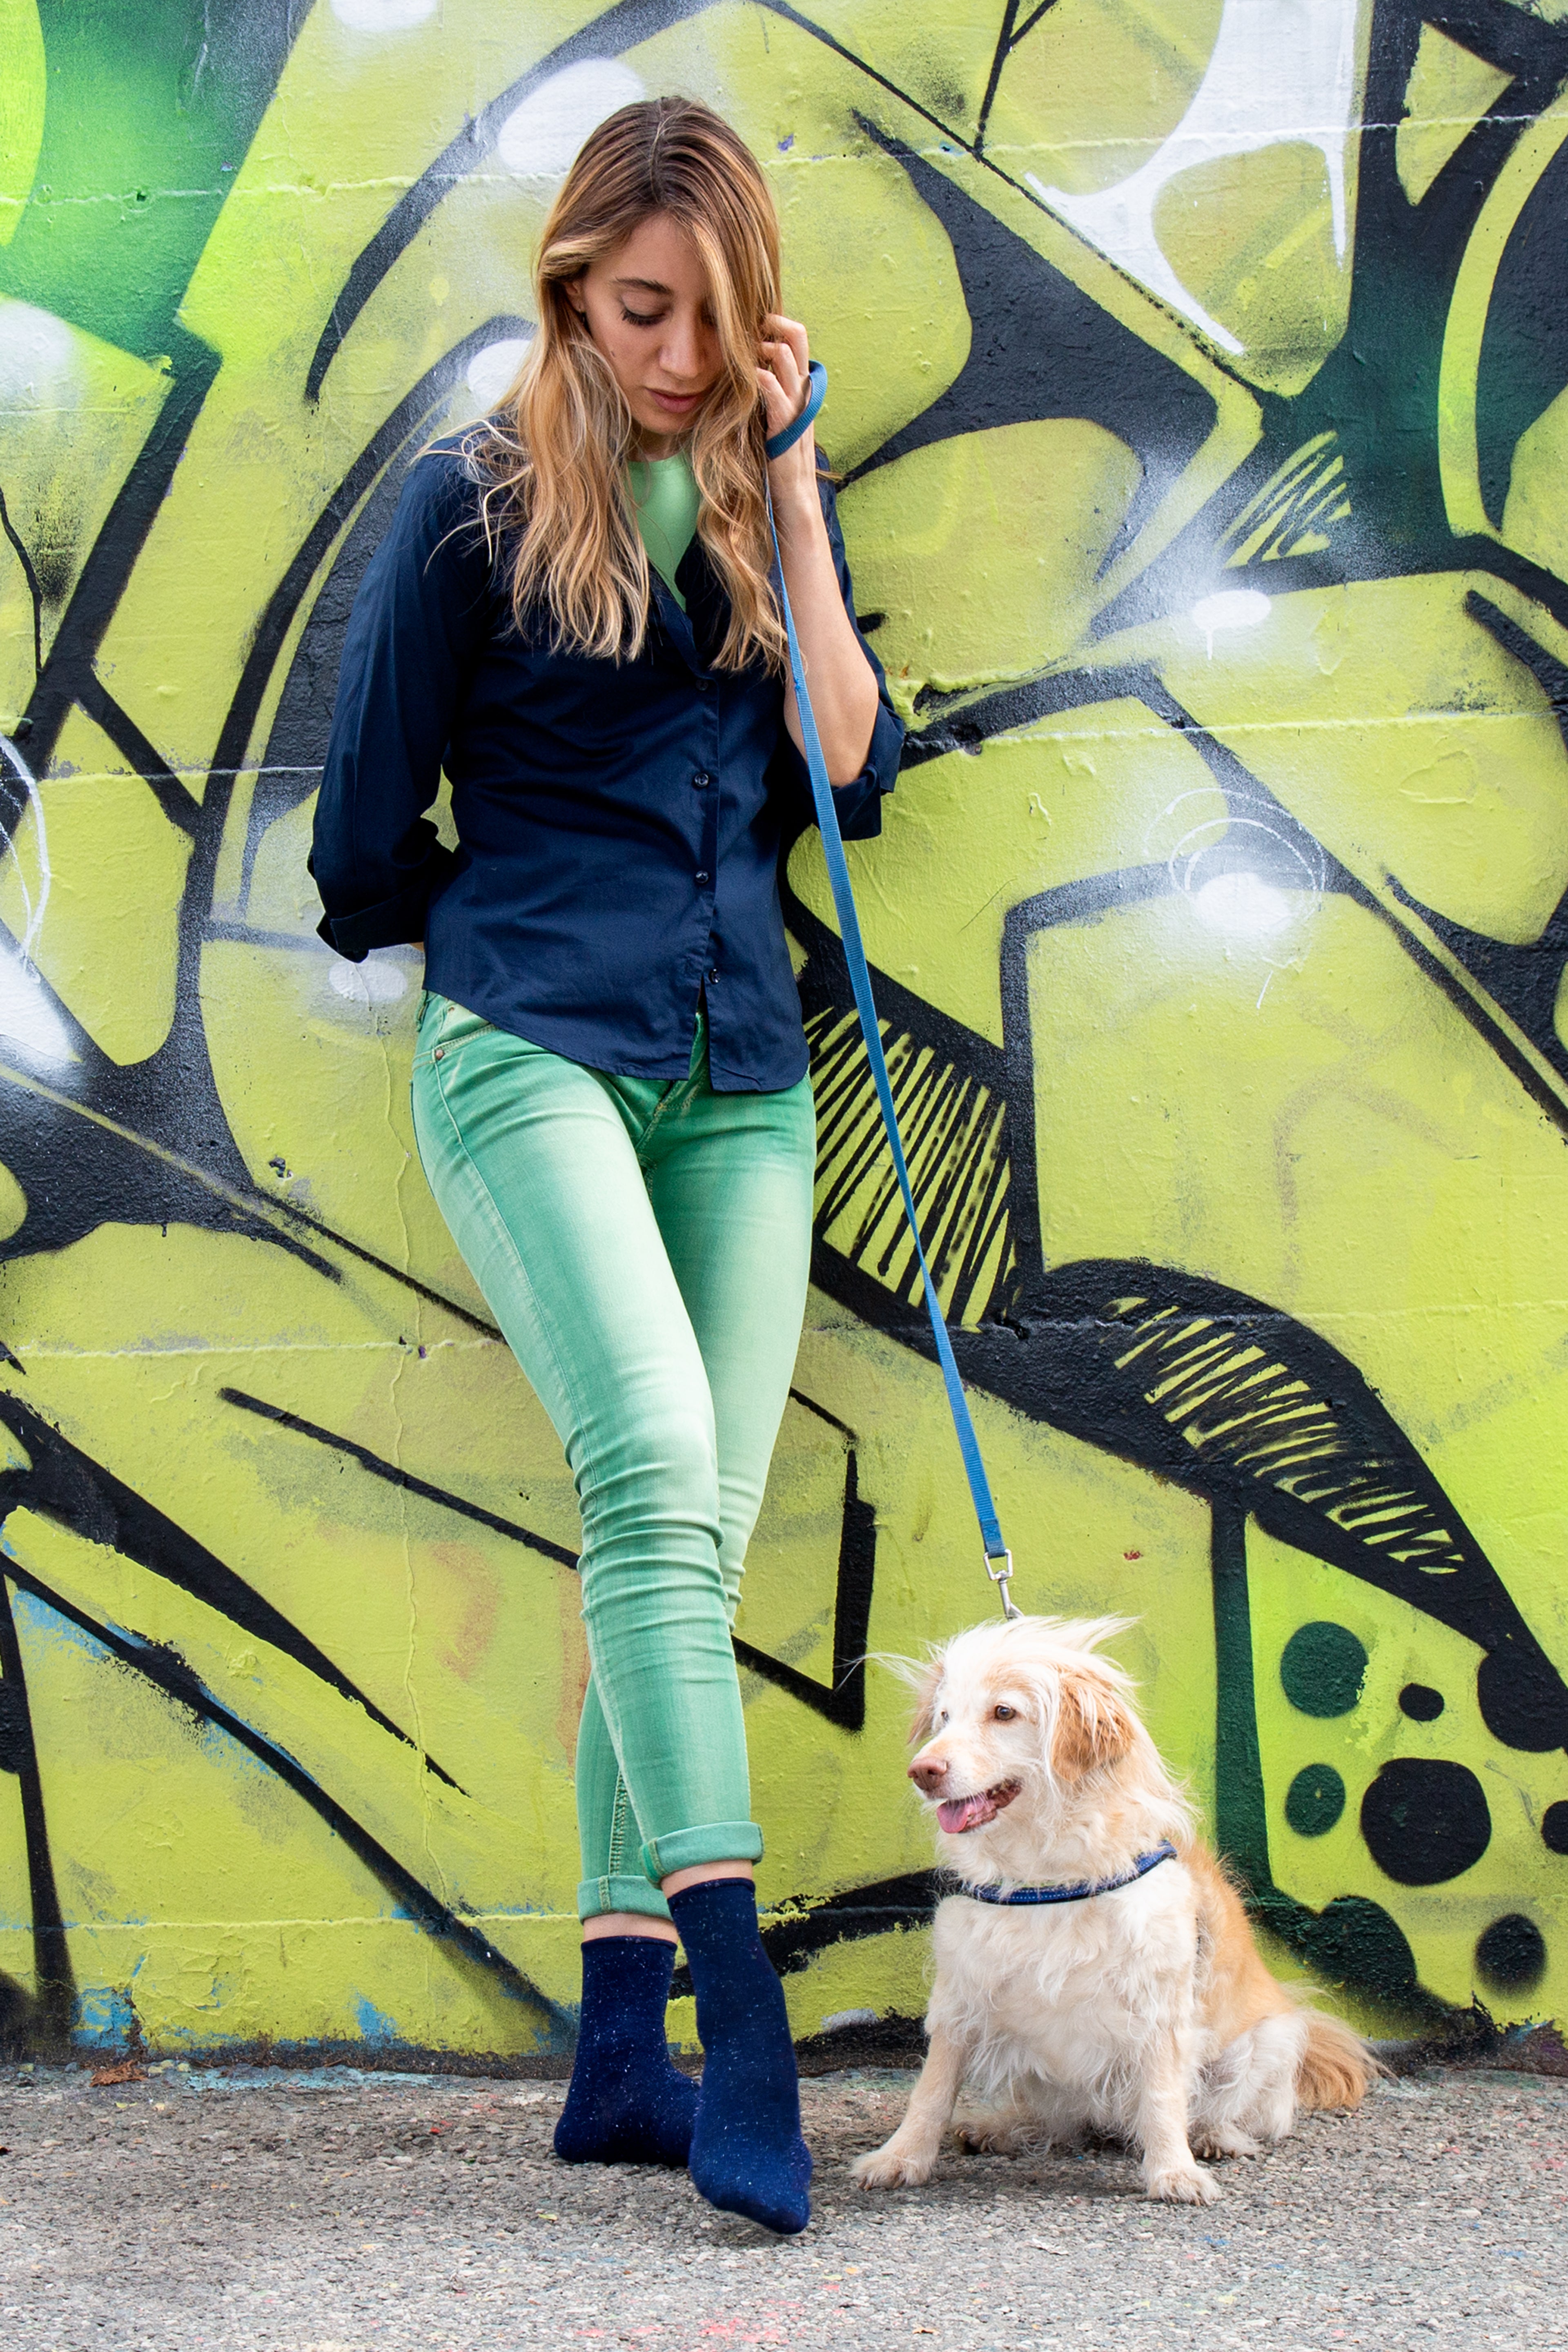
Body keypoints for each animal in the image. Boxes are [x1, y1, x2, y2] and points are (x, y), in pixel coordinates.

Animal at [851, 1618, 1382, 2201]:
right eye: (944, 1716)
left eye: (1004, 1713)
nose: (922, 1771)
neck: (1049, 1877)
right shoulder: (961, 1996)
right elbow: (931, 2091)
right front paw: (901, 2158)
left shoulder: (1160, 2008)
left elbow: (1165, 2099)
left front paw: (1173, 2172)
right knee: (1060, 2123)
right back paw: (1004, 2127)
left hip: (1268, 2043)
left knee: (1232, 2110)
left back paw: (1215, 2138)